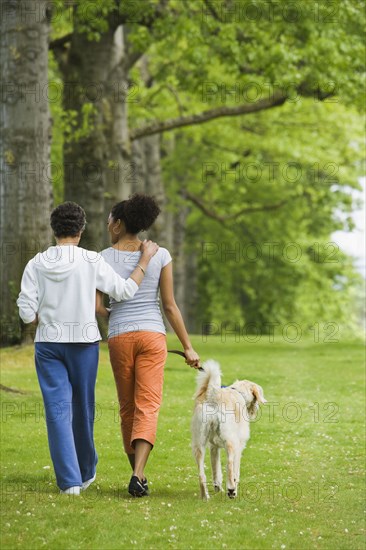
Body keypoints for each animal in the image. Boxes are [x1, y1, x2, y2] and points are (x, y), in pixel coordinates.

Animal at [192, 360, 266, 502]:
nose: (256, 409)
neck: (239, 392)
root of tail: (213, 394)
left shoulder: (214, 447)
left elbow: (216, 470)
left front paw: (218, 488)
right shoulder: (239, 446)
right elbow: (236, 470)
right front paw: (233, 486)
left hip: (199, 445)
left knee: (201, 474)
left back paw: (205, 496)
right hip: (231, 442)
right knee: (230, 464)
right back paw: (231, 490)